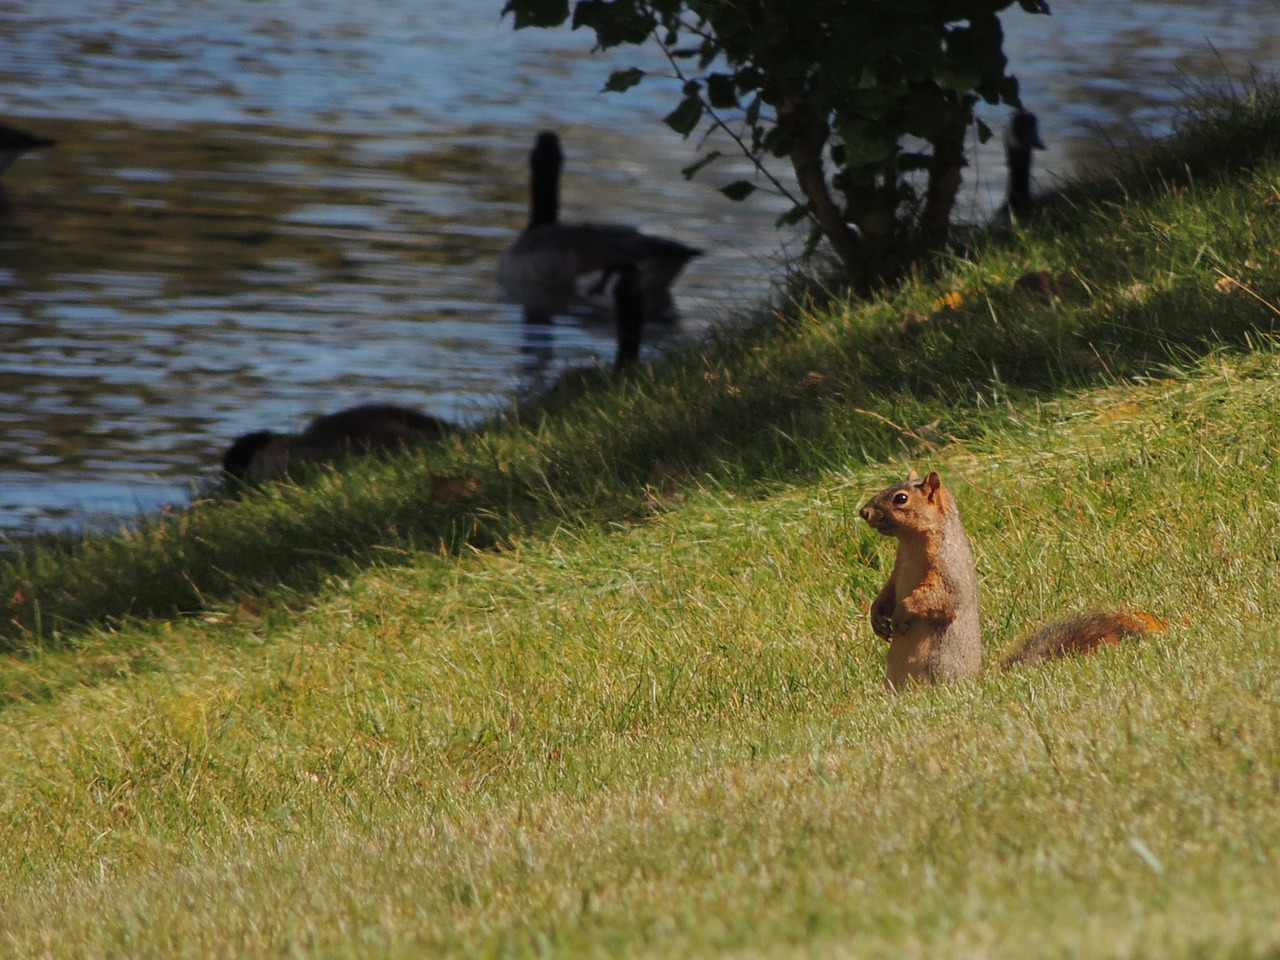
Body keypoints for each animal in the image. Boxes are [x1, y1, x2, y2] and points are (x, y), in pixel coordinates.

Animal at [860, 471, 1162, 691]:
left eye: (900, 498)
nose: (864, 512)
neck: (911, 544)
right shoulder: (897, 571)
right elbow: (887, 592)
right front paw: (877, 617)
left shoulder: (948, 570)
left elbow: (938, 597)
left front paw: (901, 614)